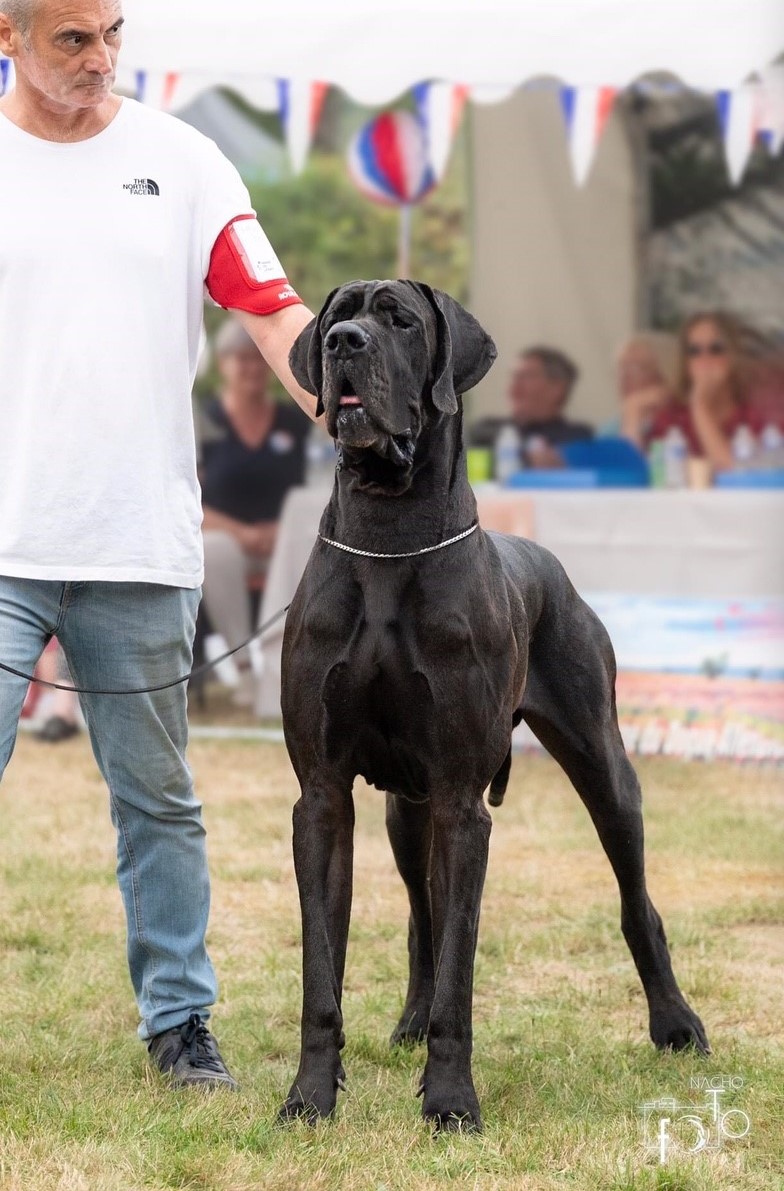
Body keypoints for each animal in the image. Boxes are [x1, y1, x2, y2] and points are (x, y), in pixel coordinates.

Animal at [276, 283, 710, 1129]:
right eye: (339, 314)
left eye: (401, 320)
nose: (344, 343)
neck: (390, 529)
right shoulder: (324, 793)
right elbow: (324, 967)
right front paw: (310, 1095)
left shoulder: (462, 798)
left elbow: (462, 964)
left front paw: (450, 1100)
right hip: (405, 807)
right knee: (423, 912)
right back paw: (411, 1018)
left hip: (602, 765)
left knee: (635, 899)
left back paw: (675, 1021)